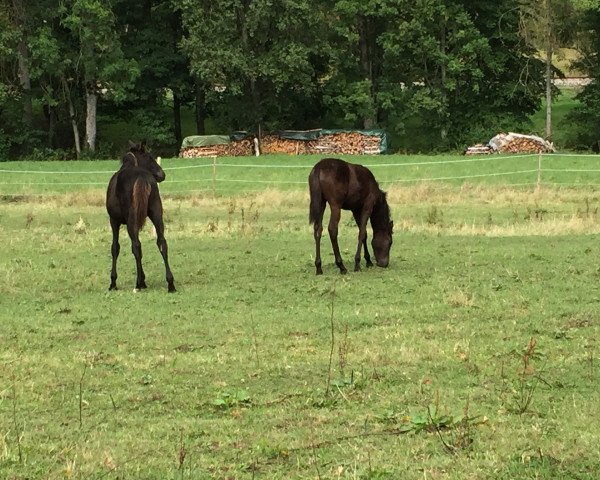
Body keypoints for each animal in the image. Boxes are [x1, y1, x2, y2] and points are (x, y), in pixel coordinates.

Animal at [106, 142, 176, 292]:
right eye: (149, 157)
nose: (162, 174)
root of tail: (141, 177)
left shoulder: (114, 221)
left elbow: (115, 247)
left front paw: (113, 282)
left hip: (131, 220)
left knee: (136, 245)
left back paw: (139, 283)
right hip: (157, 214)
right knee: (162, 243)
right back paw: (170, 283)